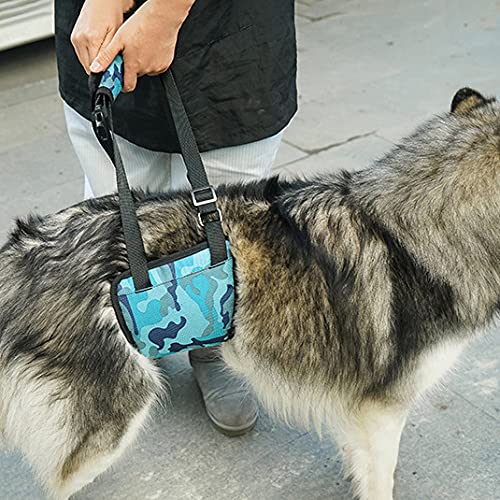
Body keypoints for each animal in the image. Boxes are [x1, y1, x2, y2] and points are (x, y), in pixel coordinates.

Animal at [0, 88, 498, 498]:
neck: (409, 233)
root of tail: (26, 247)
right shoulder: (383, 410)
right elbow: (382, 479)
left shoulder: (362, 411)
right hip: (113, 420)